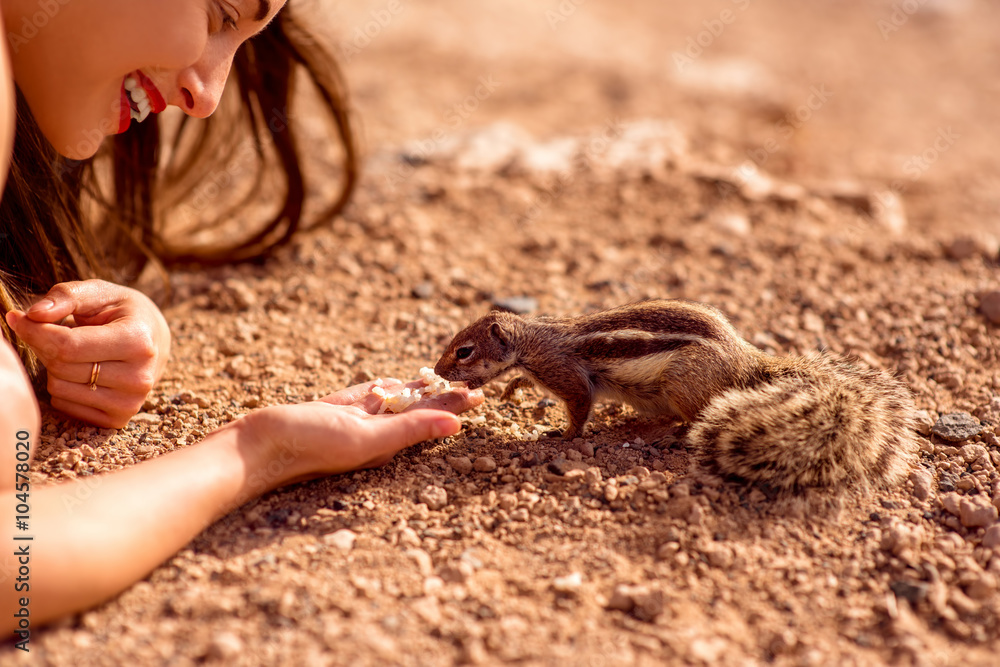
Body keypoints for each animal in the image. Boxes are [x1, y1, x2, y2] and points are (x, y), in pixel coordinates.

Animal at [434, 300, 916, 494]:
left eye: (464, 351)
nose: (438, 371)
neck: (532, 339)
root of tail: (745, 361)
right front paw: (512, 390)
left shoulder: (565, 373)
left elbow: (579, 408)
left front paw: (560, 435)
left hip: (683, 387)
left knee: (696, 420)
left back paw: (667, 435)